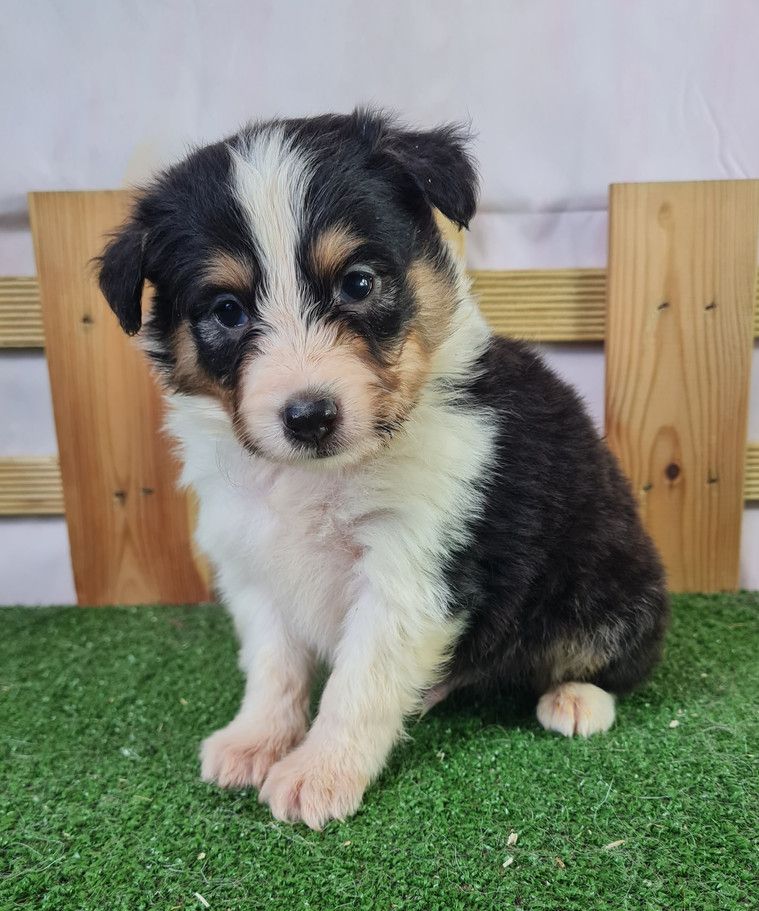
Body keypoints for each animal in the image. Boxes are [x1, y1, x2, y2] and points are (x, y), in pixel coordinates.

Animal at [98, 110, 668, 832]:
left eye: (359, 283)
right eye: (226, 310)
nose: (309, 416)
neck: (315, 476)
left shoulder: (412, 566)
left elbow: (358, 683)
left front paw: (317, 773)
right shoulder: (253, 561)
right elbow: (273, 665)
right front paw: (256, 739)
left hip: (604, 593)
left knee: (618, 661)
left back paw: (575, 699)